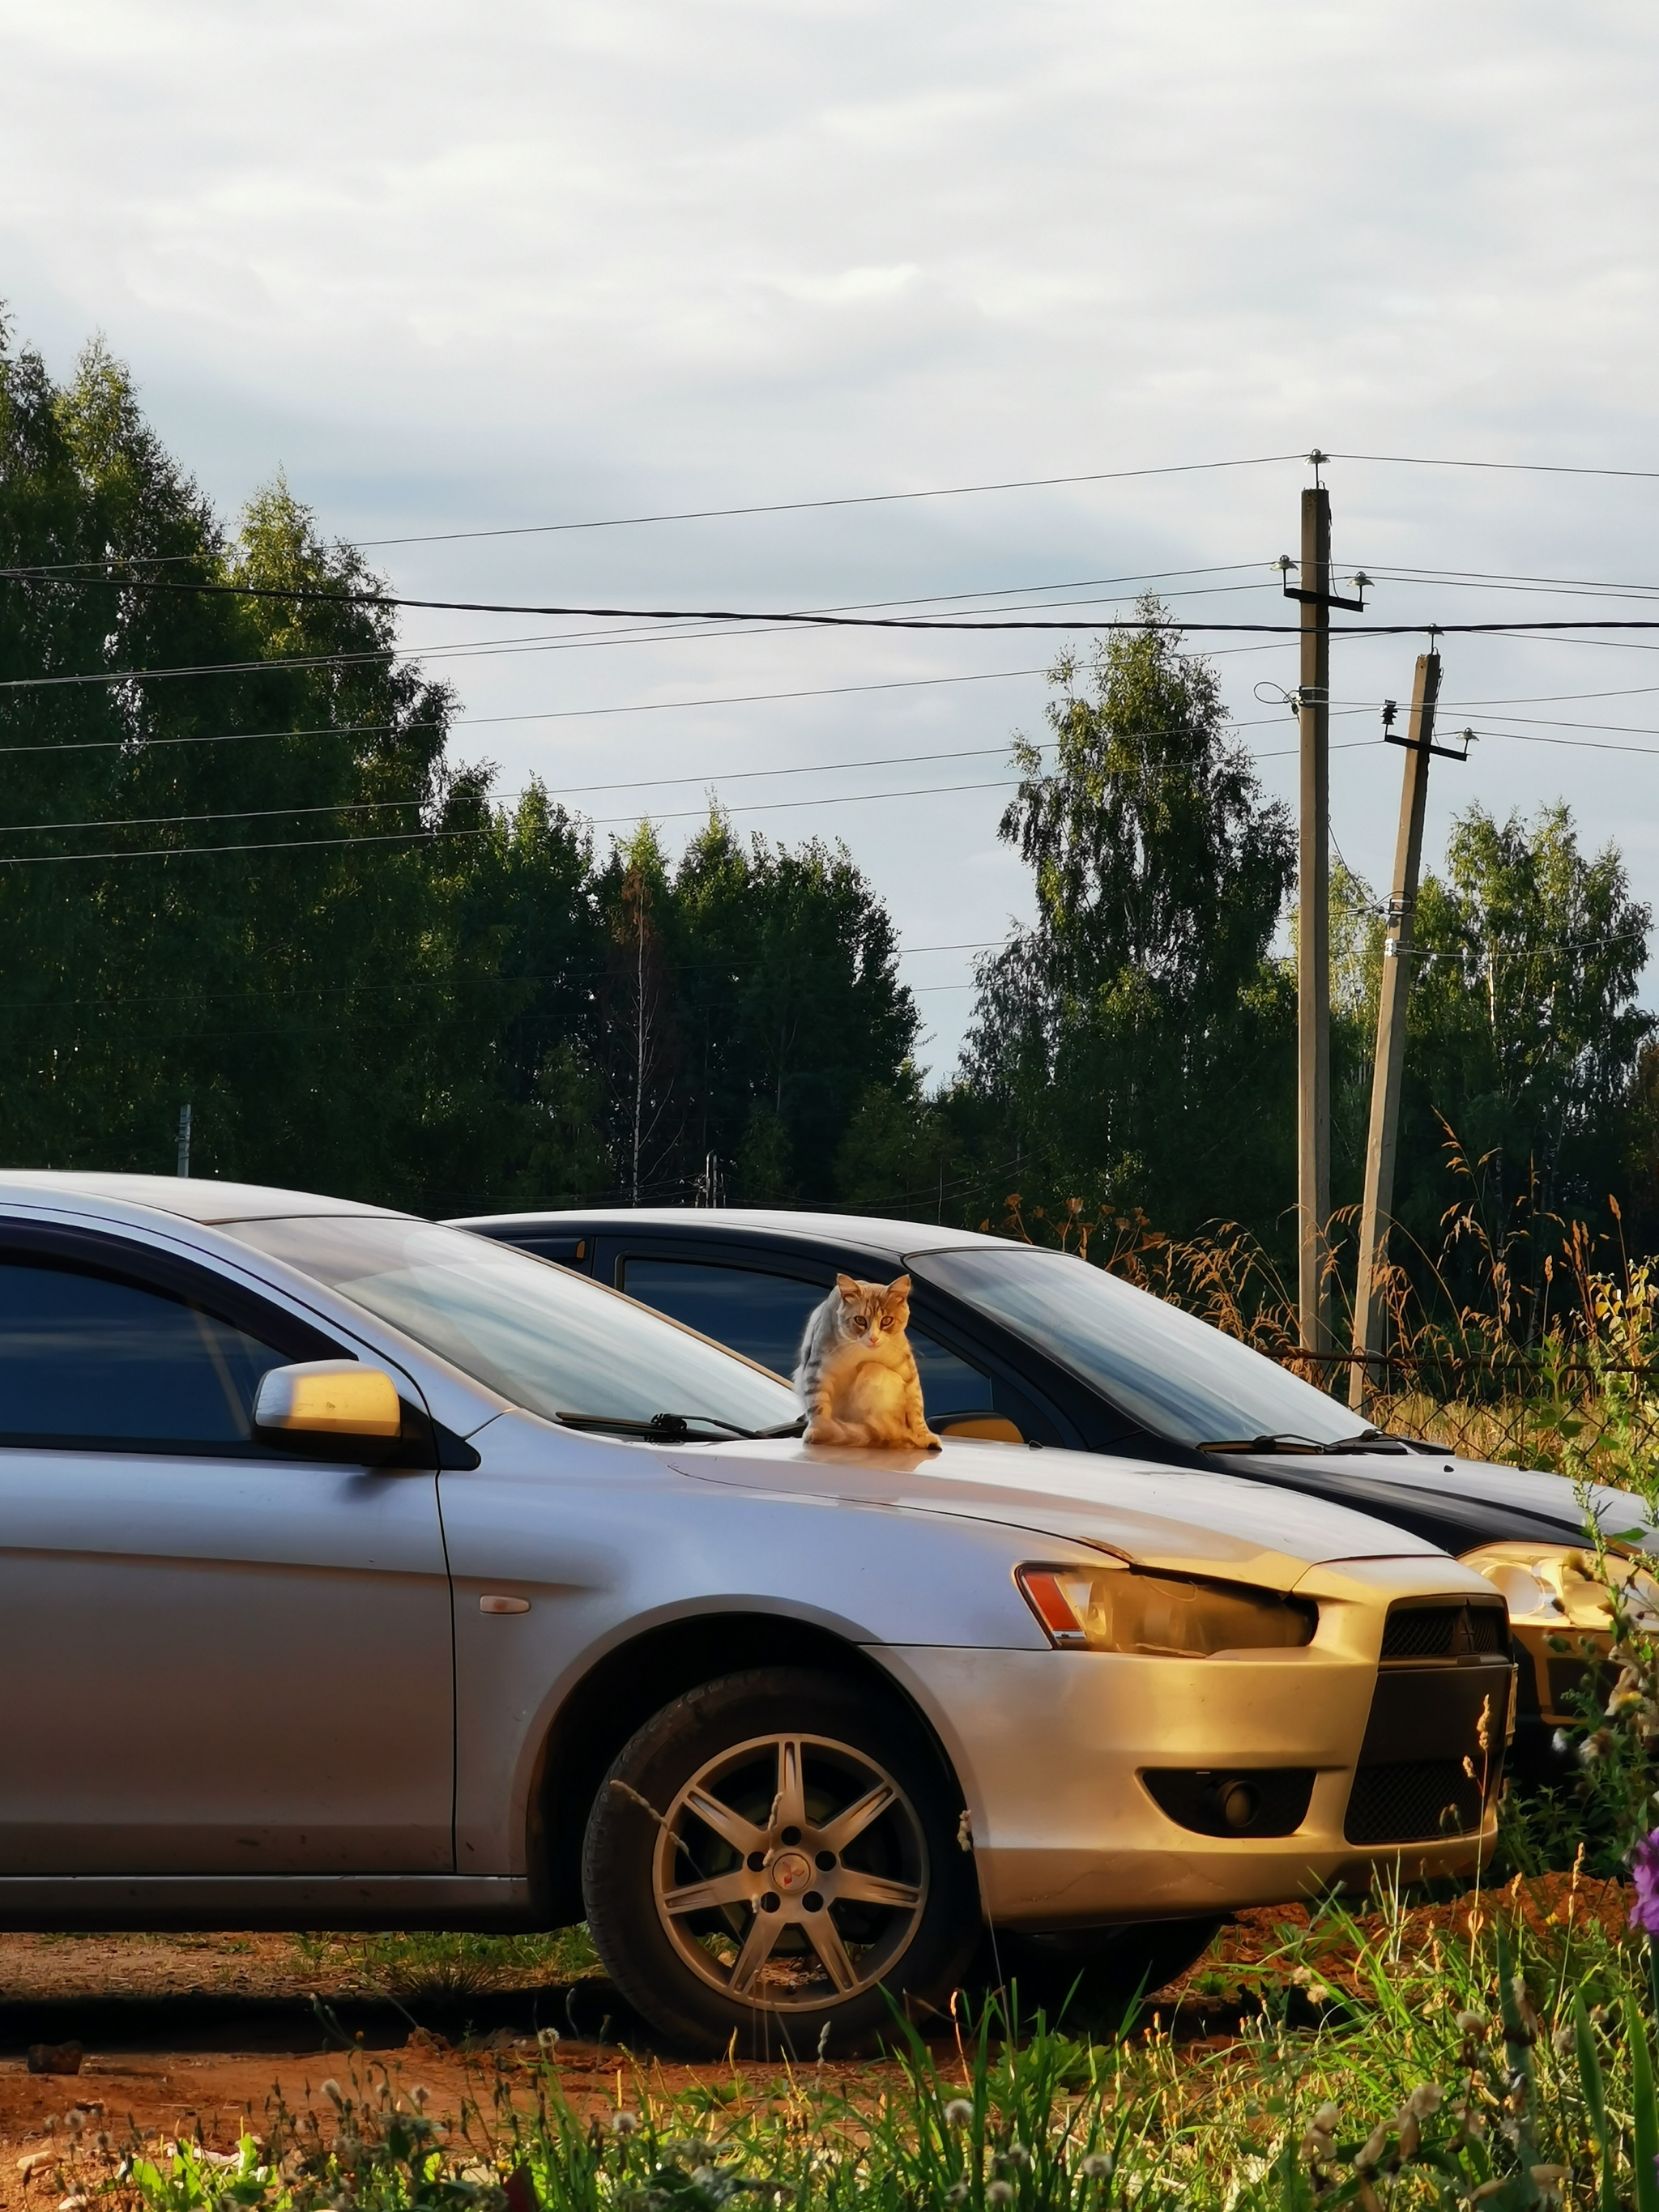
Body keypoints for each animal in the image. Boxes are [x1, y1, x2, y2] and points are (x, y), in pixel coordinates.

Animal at [796, 1282, 942, 1451]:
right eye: (860, 1320)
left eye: (887, 1320)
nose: (873, 1338)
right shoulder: (818, 1370)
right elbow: (818, 1406)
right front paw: (820, 1429)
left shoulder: (907, 1370)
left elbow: (917, 1409)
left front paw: (925, 1435)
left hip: (874, 1371)